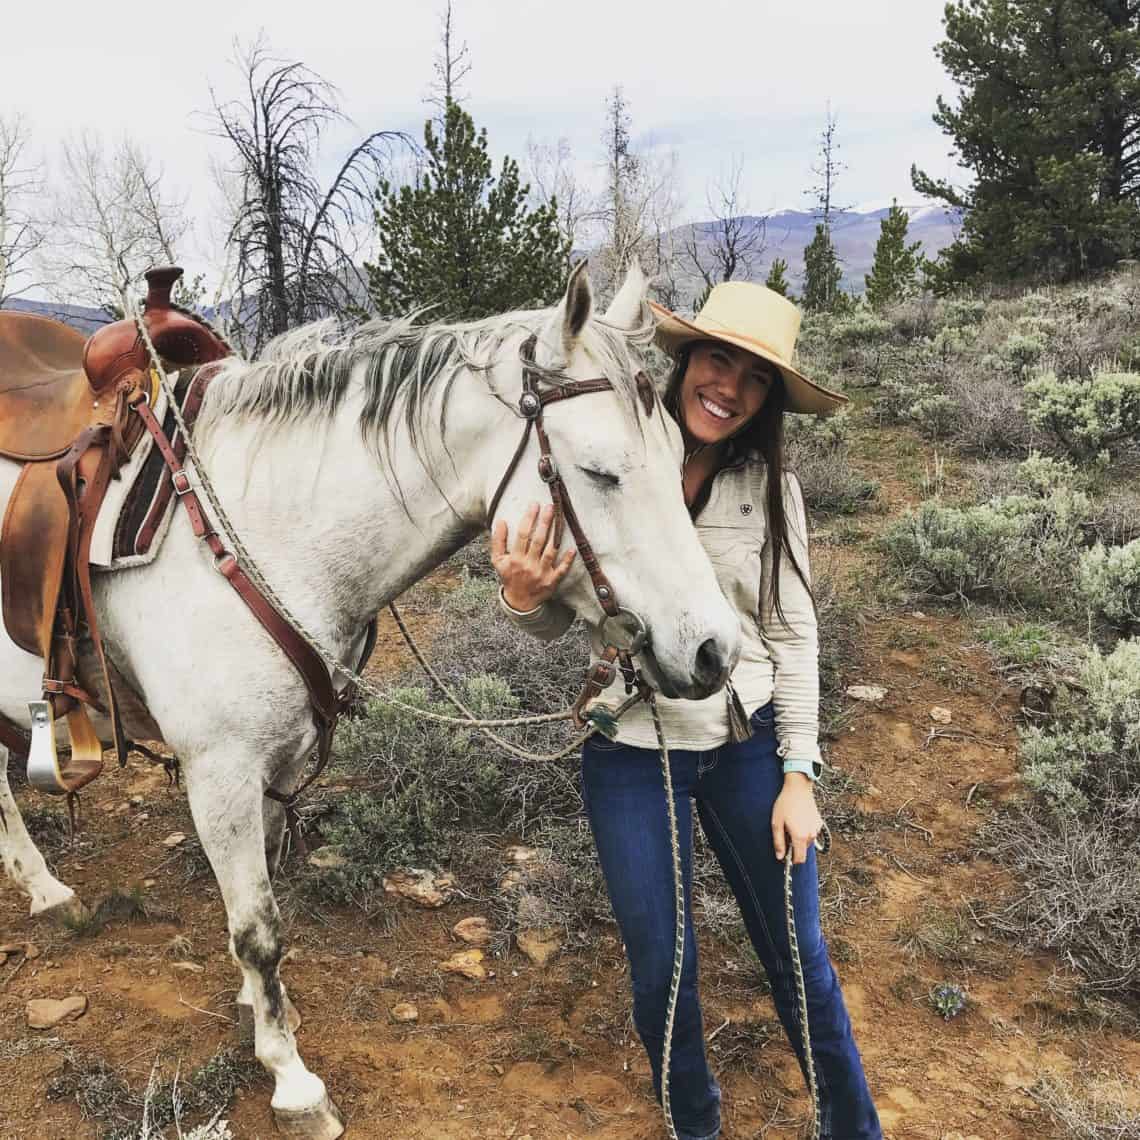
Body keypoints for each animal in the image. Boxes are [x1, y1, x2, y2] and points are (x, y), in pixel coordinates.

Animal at [0, 261, 738, 1140]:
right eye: (599, 471)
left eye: (678, 452)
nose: (715, 650)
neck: (260, 530)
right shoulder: (219, 773)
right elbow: (257, 930)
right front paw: (293, 1083)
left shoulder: (270, 771)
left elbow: (258, 919)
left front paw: (259, 1015)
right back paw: (45, 888)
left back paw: (44, 890)